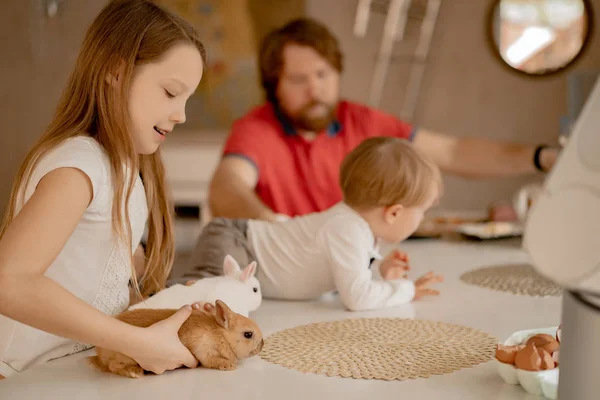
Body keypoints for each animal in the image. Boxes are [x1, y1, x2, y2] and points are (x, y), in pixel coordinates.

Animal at [86, 300, 262, 378]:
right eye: (248, 334)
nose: (262, 346)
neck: (221, 335)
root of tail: (99, 354)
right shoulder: (203, 350)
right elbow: (211, 361)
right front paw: (228, 365)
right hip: (123, 356)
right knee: (113, 366)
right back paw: (134, 372)